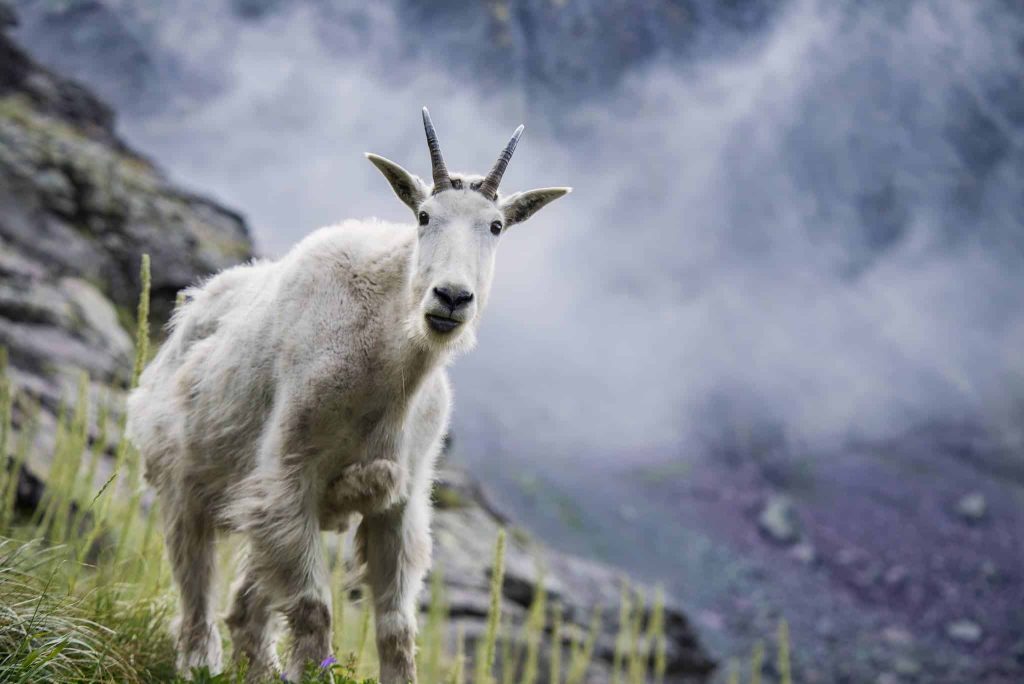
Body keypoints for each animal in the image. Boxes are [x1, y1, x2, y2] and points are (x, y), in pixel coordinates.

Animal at [126, 108, 570, 683]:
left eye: (495, 226)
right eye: (423, 216)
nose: (451, 298)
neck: (388, 367)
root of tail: (188, 314)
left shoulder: (398, 502)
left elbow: (397, 628)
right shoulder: (289, 476)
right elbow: (315, 610)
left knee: (247, 606)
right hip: (184, 480)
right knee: (196, 584)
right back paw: (199, 661)